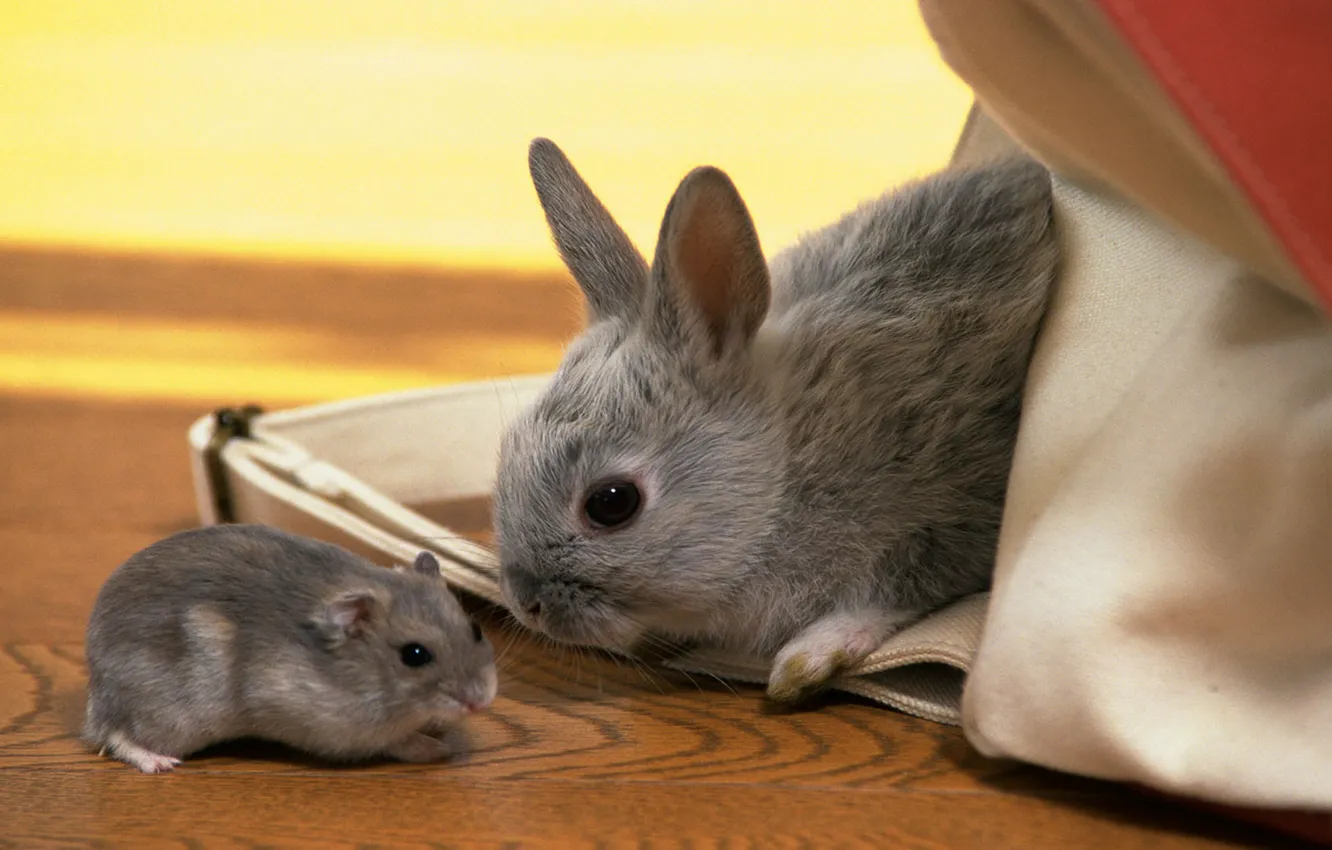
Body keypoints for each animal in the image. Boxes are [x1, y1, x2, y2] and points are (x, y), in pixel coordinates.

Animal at [83, 524, 498, 773]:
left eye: (476, 630)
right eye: (414, 655)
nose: (481, 702)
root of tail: (96, 689)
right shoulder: (333, 728)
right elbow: (397, 740)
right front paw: (437, 749)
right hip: (171, 716)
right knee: (116, 736)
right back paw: (161, 763)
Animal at [492, 138, 1058, 703]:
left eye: (612, 503)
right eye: (507, 450)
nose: (527, 604)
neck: (785, 471)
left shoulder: (951, 507)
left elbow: (892, 593)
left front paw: (806, 661)